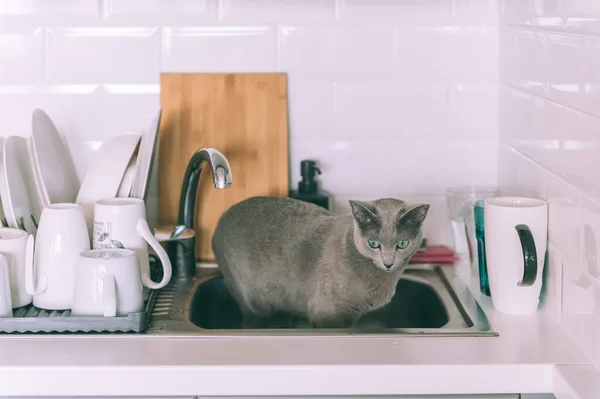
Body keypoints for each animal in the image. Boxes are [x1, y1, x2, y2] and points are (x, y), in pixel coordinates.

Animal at [211, 195, 426, 330]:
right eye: (374, 244)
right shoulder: (328, 313)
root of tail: (222, 217)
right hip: (251, 301)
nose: (388, 263)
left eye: (402, 244)